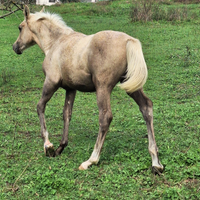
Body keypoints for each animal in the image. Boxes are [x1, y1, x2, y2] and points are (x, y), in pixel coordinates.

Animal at [12, 5, 162, 173]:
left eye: (20, 27)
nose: (15, 47)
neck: (56, 43)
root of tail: (128, 40)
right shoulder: (70, 89)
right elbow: (66, 114)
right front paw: (60, 148)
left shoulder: (51, 82)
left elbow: (40, 107)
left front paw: (48, 146)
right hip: (131, 86)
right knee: (146, 107)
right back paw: (156, 162)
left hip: (103, 87)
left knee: (105, 117)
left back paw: (91, 160)